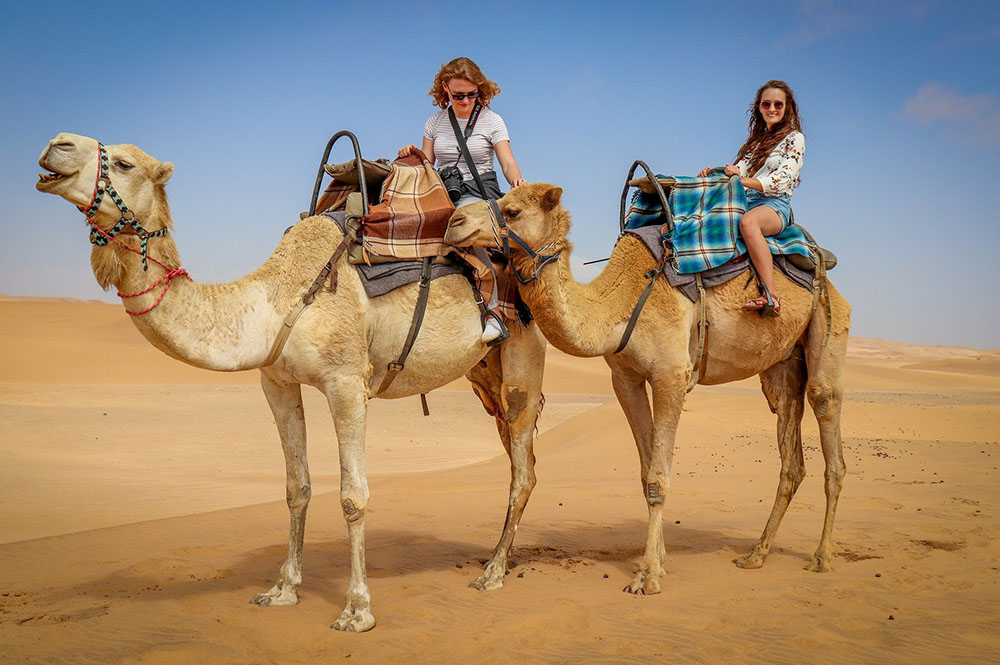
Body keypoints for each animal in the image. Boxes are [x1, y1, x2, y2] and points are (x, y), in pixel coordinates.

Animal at [35, 132, 548, 632]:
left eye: (124, 163)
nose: (56, 144)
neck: (274, 300)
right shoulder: (277, 383)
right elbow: (295, 486)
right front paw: (282, 589)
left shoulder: (346, 381)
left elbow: (352, 496)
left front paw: (357, 609)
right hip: (484, 373)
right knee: (518, 458)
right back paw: (498, 560)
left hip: (523, 351)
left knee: (522, 467)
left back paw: (493, 573)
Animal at [446, 184, 852, 592]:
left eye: (511, 210)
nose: (454, 221)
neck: (619, 303)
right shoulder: (625, 379)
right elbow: (645, 474)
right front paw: (658, 562)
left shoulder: (671, 374)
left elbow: (659, 478)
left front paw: (648, 577)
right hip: (782, 367)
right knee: (791, 452)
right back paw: (756, 555)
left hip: (829, 328)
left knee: (828, 424)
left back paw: (821, 557)